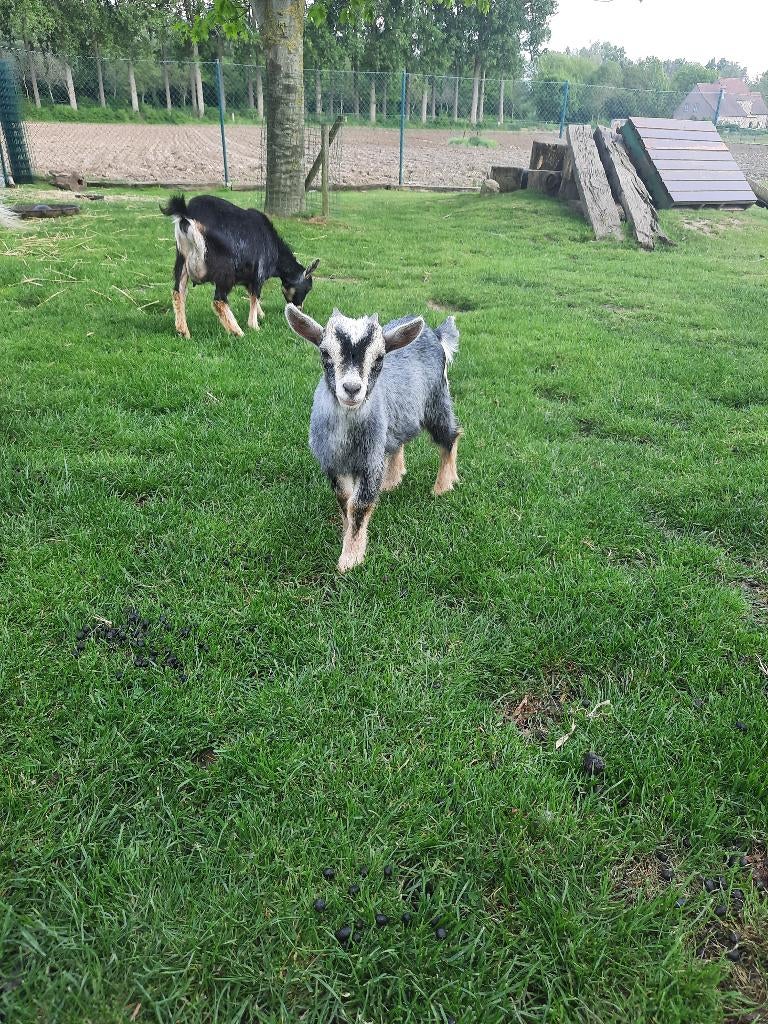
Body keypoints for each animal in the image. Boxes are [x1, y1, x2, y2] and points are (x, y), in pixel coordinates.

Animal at [160, 194, 319, 339]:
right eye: (307, 288)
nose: (299, 308)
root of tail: (188, 214)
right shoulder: (259, 273)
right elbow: (255, 296)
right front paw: (254, 326)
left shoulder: (248, 278)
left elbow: (251, 294)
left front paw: (261, 314)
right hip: (225, 269)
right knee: (219, 300)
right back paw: (237, 332)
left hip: (181, 260)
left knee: (178, 292)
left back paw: (183, 331)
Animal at [285, 304, 462, 573]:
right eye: (325, 353)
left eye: (379, 358)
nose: (352, 388)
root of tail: (436, 334)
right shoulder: (333, 463)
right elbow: (344, 499)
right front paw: (346, 532)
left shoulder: (370, 462)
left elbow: (359, 504)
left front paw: (351, 559)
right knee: (398, 441)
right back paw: (392, 481)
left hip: (437, 401)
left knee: (450, 437)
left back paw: (443, 485)